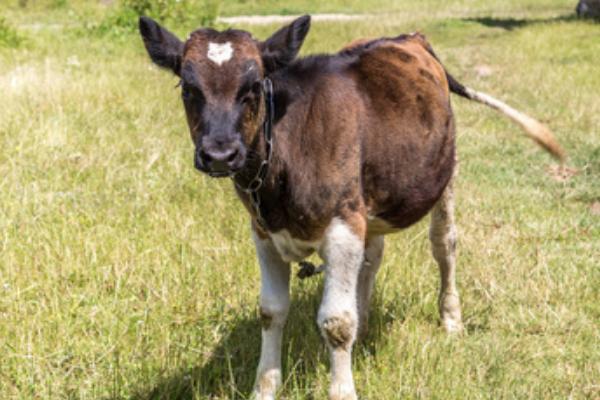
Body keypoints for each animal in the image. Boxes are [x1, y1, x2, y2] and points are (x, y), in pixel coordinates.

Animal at [139, 14, 564, 400]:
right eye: (188, 88)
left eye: (254, 86)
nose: (220, 154)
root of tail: (410, 37)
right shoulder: (263, 232)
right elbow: (272, 311)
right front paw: (265, 389)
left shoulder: (343, 223)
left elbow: (336, 321)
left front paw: (342, 388)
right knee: (372, 257)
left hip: (444, 176)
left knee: (444, 246)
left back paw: (450, 319)